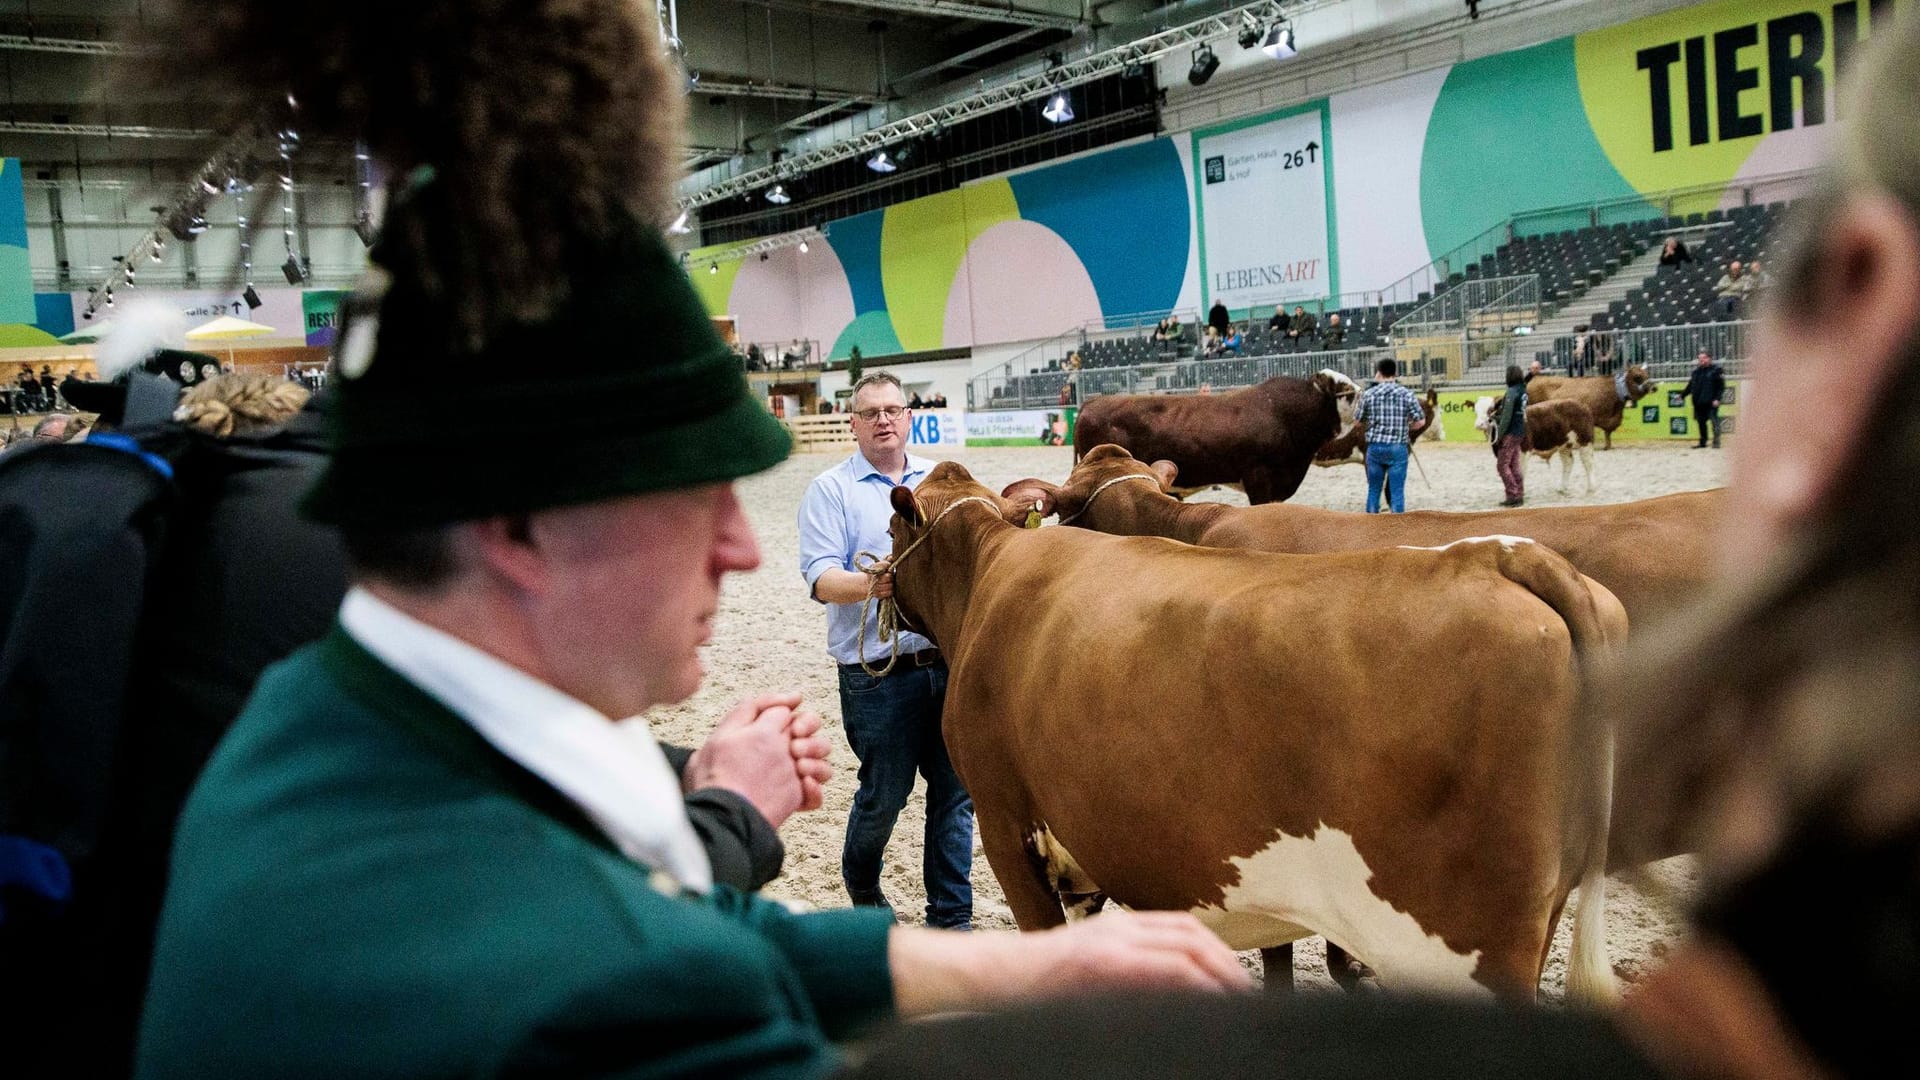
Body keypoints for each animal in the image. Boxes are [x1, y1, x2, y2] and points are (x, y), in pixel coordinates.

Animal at [1520, 363, 1658, 443]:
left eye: (1647, 374)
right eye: (1637, 377)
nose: (1654, 388)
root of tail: (1535, 378)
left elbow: (1608, 434)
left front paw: (1608, 446)